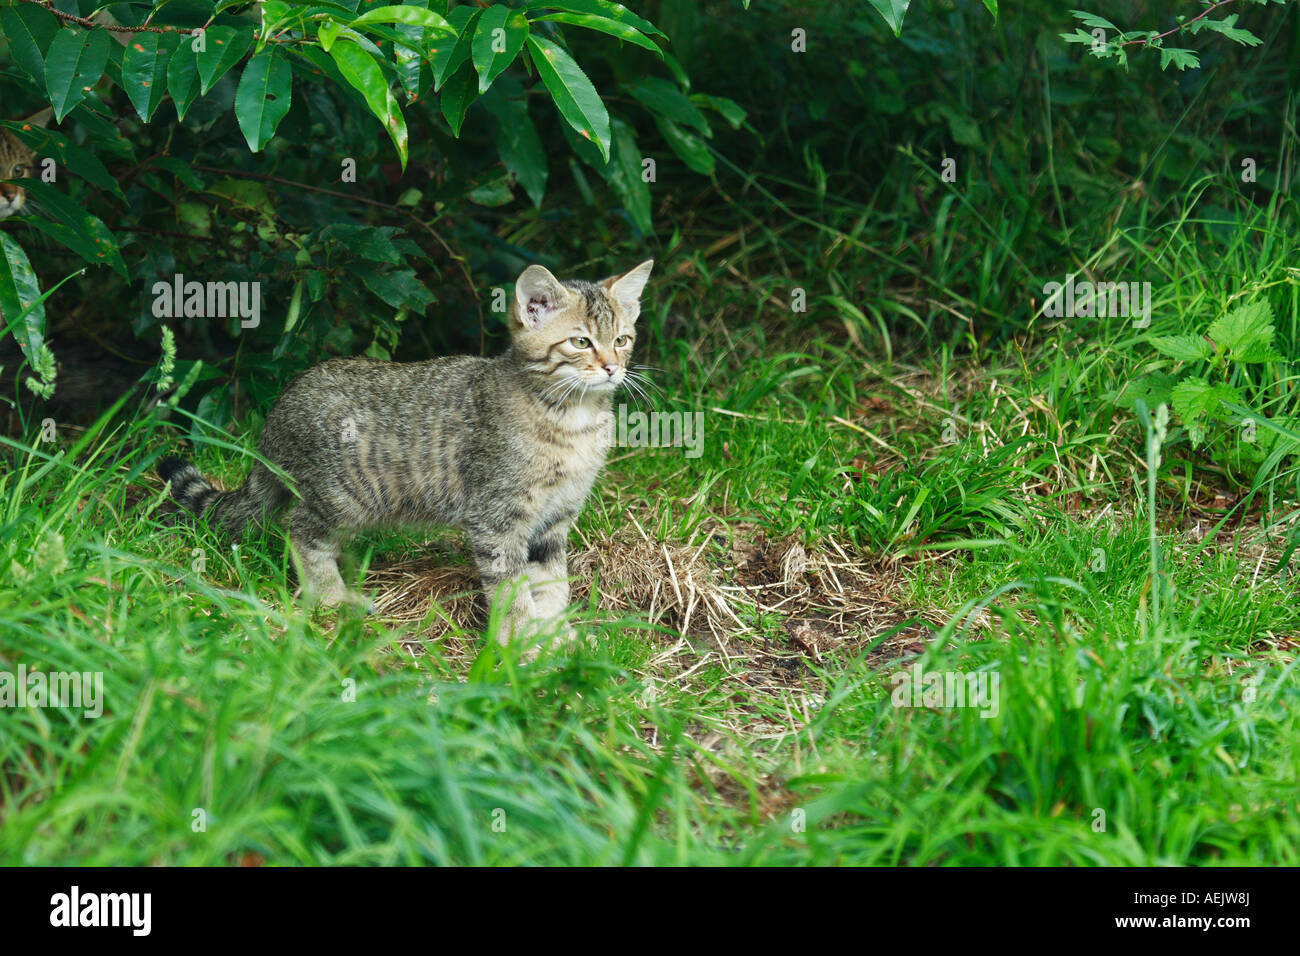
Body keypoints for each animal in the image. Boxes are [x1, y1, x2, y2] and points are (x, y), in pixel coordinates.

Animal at [159, 260, 650, 642]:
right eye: (581, 342)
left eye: (622, 340)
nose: (612, 367)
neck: (573, 419)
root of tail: (283, 404)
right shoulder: (497, 519)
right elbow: (511, 590)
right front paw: (519, 643)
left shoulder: (554, 521)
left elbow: (552, 585)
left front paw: (554, 635)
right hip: (344, 497)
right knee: (300, 532)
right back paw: (332, 598)